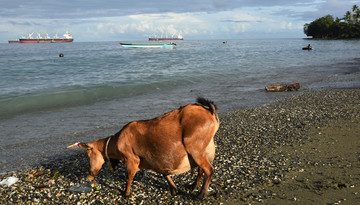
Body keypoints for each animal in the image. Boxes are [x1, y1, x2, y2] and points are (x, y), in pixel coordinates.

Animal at [77, 97, 219, 199]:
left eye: (88, 153)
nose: (90, 173)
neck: (117, 142)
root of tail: (210, 113)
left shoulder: (132, 160)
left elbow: (129, 178)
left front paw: (126, 194)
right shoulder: (155, 160)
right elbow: (164, 173)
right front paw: (174, 189)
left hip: (194, 148)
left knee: (209, 170)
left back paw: (200, 195)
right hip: (204, 149)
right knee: (202, 169)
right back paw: (193, 186)